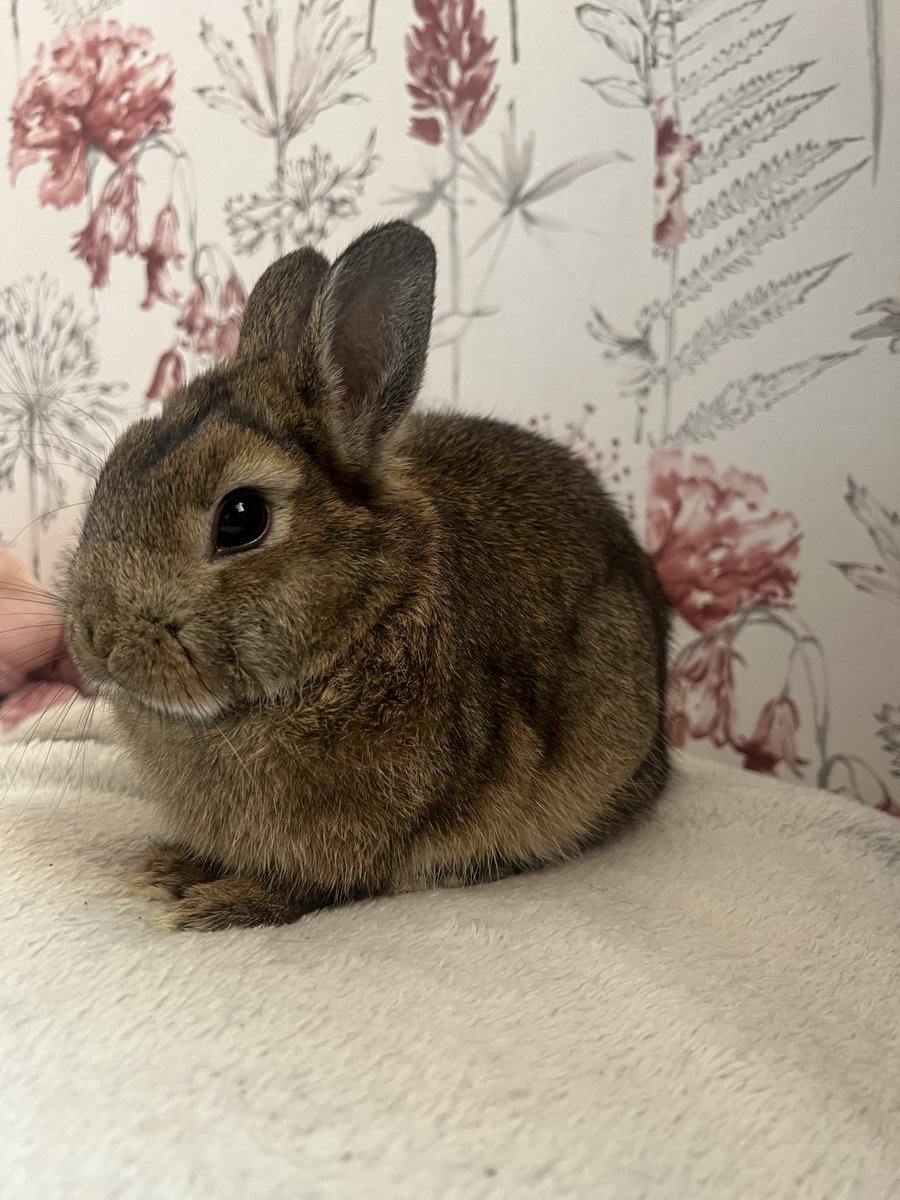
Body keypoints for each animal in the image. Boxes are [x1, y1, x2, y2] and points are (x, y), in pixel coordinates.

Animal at [64, 220, 671, 932]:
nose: (96, 638)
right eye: (114, 467)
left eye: (241, 518)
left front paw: (220, 905)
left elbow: (313, 886)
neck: (361, 621)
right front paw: (171, 870)